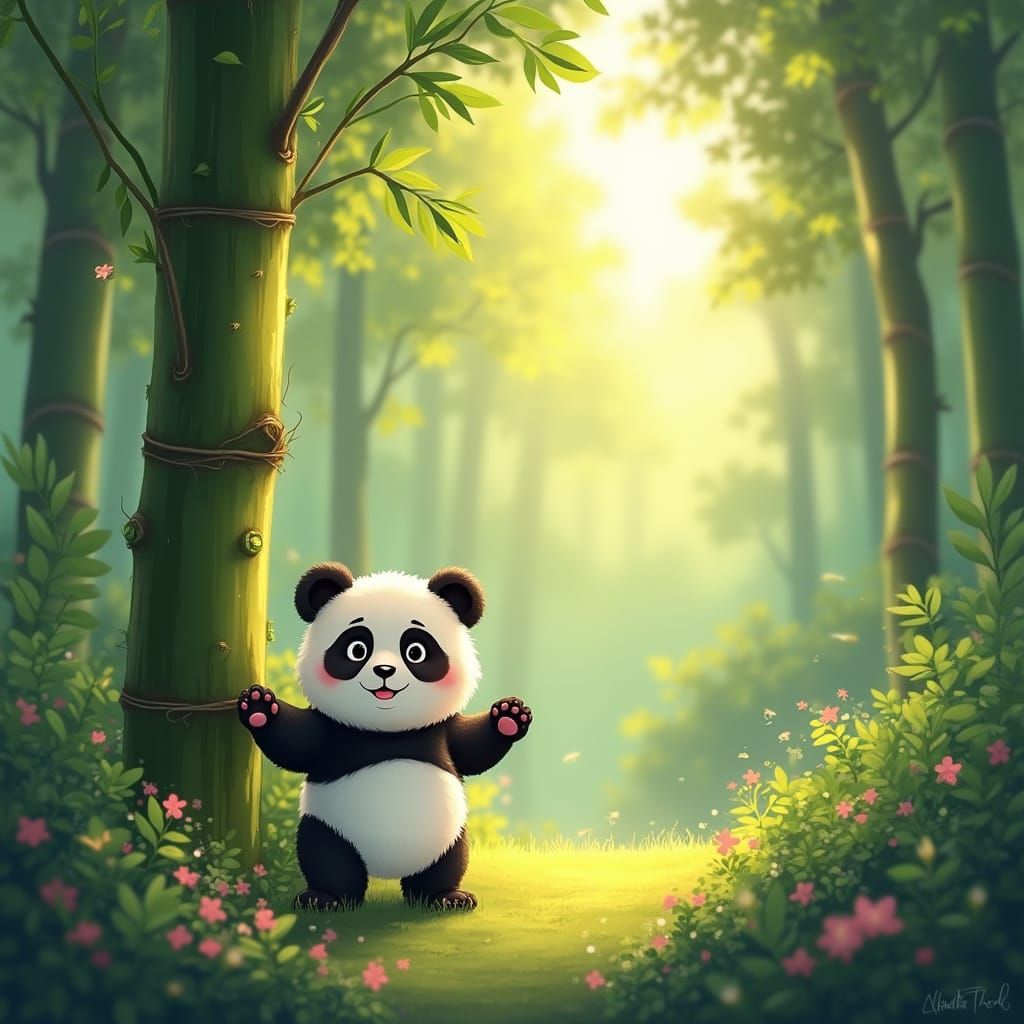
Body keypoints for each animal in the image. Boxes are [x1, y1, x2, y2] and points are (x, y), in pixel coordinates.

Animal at [237, 562, 532, 912]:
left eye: (416, 651)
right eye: (357, 649)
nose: (384, 671)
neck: (387, 731)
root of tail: (386, 870)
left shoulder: (439, 729)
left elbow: (472, 749)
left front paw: (510, 716)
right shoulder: (333, 730)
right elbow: (295, 745)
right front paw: (258, 706)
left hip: (448, 836)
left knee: (447, 864)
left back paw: (446, 897)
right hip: (330, 828)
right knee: (327, 859)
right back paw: (325, 899)